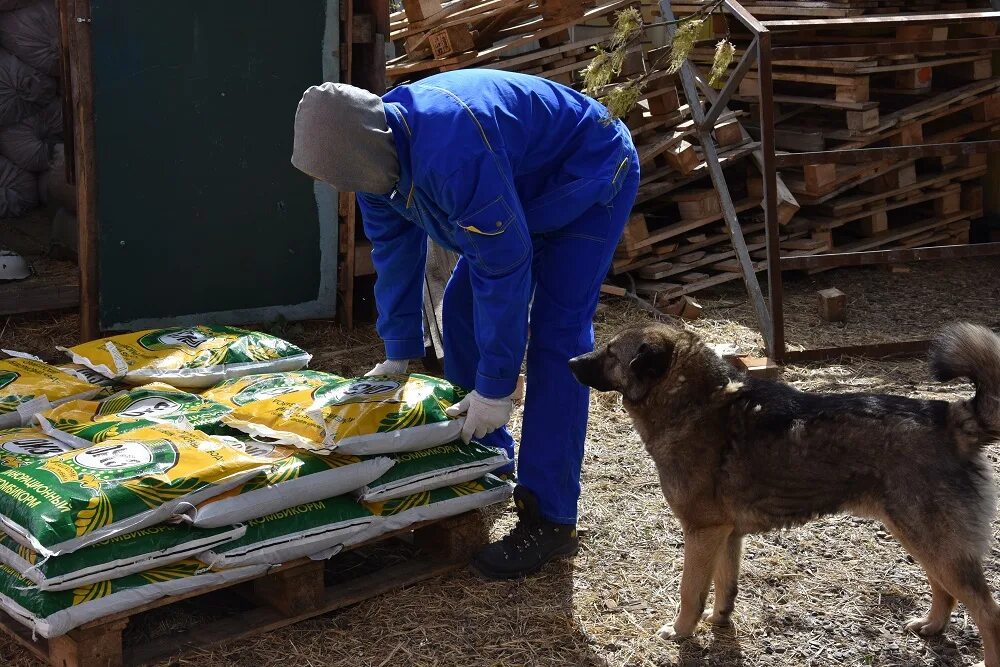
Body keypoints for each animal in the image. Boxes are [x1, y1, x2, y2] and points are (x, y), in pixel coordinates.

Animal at [572, 320, 1000, 664]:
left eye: (610, 352)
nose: (571, 360)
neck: (694, 403)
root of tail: (952, 419)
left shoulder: (702, 533)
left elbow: (690, 592)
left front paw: (681, 631)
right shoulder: (725, 536)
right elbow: (724, 587)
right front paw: (718, 621)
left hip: (934, 543)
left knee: (988, 614)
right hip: (921, 539)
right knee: (945, 590)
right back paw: (932, 625)